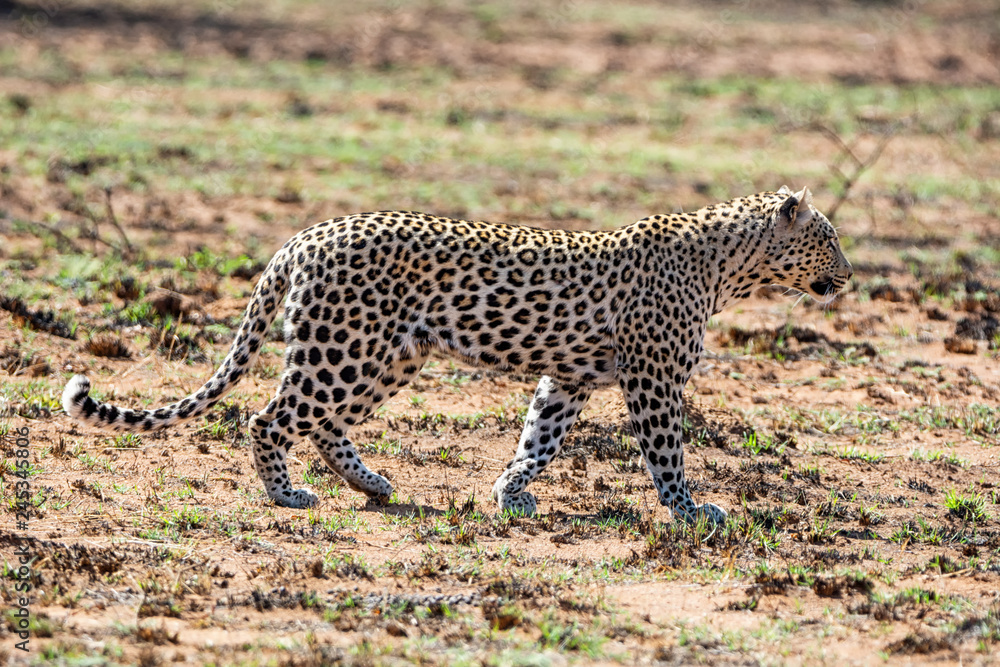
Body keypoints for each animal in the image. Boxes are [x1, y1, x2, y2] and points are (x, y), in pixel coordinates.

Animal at [62, 186, 852, 524]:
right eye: (832, 237)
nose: (849, 276)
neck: (733, 265)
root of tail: (303, 237)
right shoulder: (654, 378)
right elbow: (667, 453)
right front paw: (691, 510)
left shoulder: (569, 376)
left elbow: (538, 439)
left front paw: (510, 493)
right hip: (344, 349)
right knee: (269, 417)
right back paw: (288, 495)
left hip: (386, 355)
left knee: (320, 423)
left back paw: (373, 484)